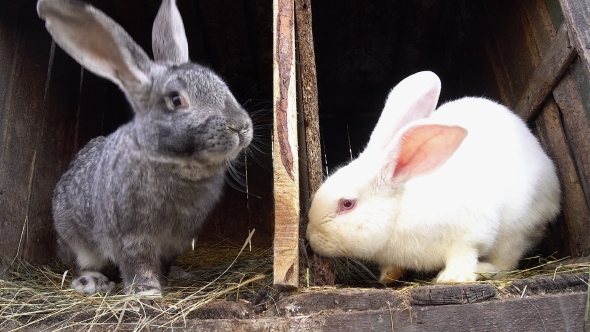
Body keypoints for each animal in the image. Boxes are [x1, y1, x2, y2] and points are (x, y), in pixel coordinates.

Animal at [38, 0, 253, 296]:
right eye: (176, 100)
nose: (240, 126)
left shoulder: (176, 240)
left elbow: (164, 261)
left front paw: (168, 278)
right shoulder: (131, 235)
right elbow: (137, 263)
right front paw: (147, 292)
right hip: (75, 239)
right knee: (75, 264)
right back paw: (92, 282)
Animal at [308, 70, 560, 282]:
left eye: (347, 204)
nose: (310, 238)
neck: (399, 212)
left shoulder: (470, 233)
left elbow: (464, 254)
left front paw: (452, 279)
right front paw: (388, 276)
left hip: (517, 228)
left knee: (507, 261)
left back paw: (484, 270)